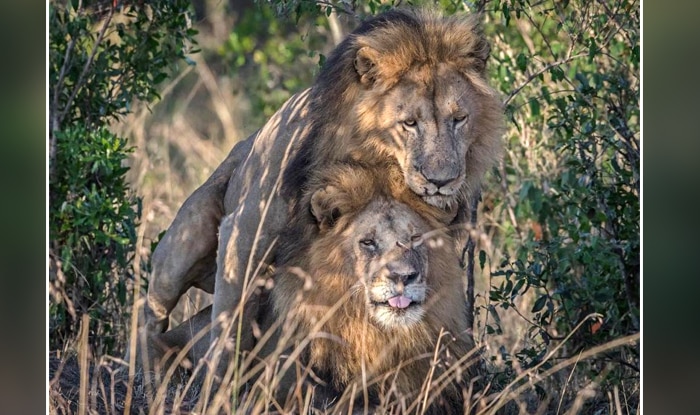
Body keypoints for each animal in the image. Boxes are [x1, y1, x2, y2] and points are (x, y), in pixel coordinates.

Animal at [137, 8, 500, 380]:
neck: (373, 162)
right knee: (151, 316)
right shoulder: (244, 232)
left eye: (459, 119)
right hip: (184, 244)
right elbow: (229, 327)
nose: (442, 181)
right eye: (409, 123)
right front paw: (219, 386)